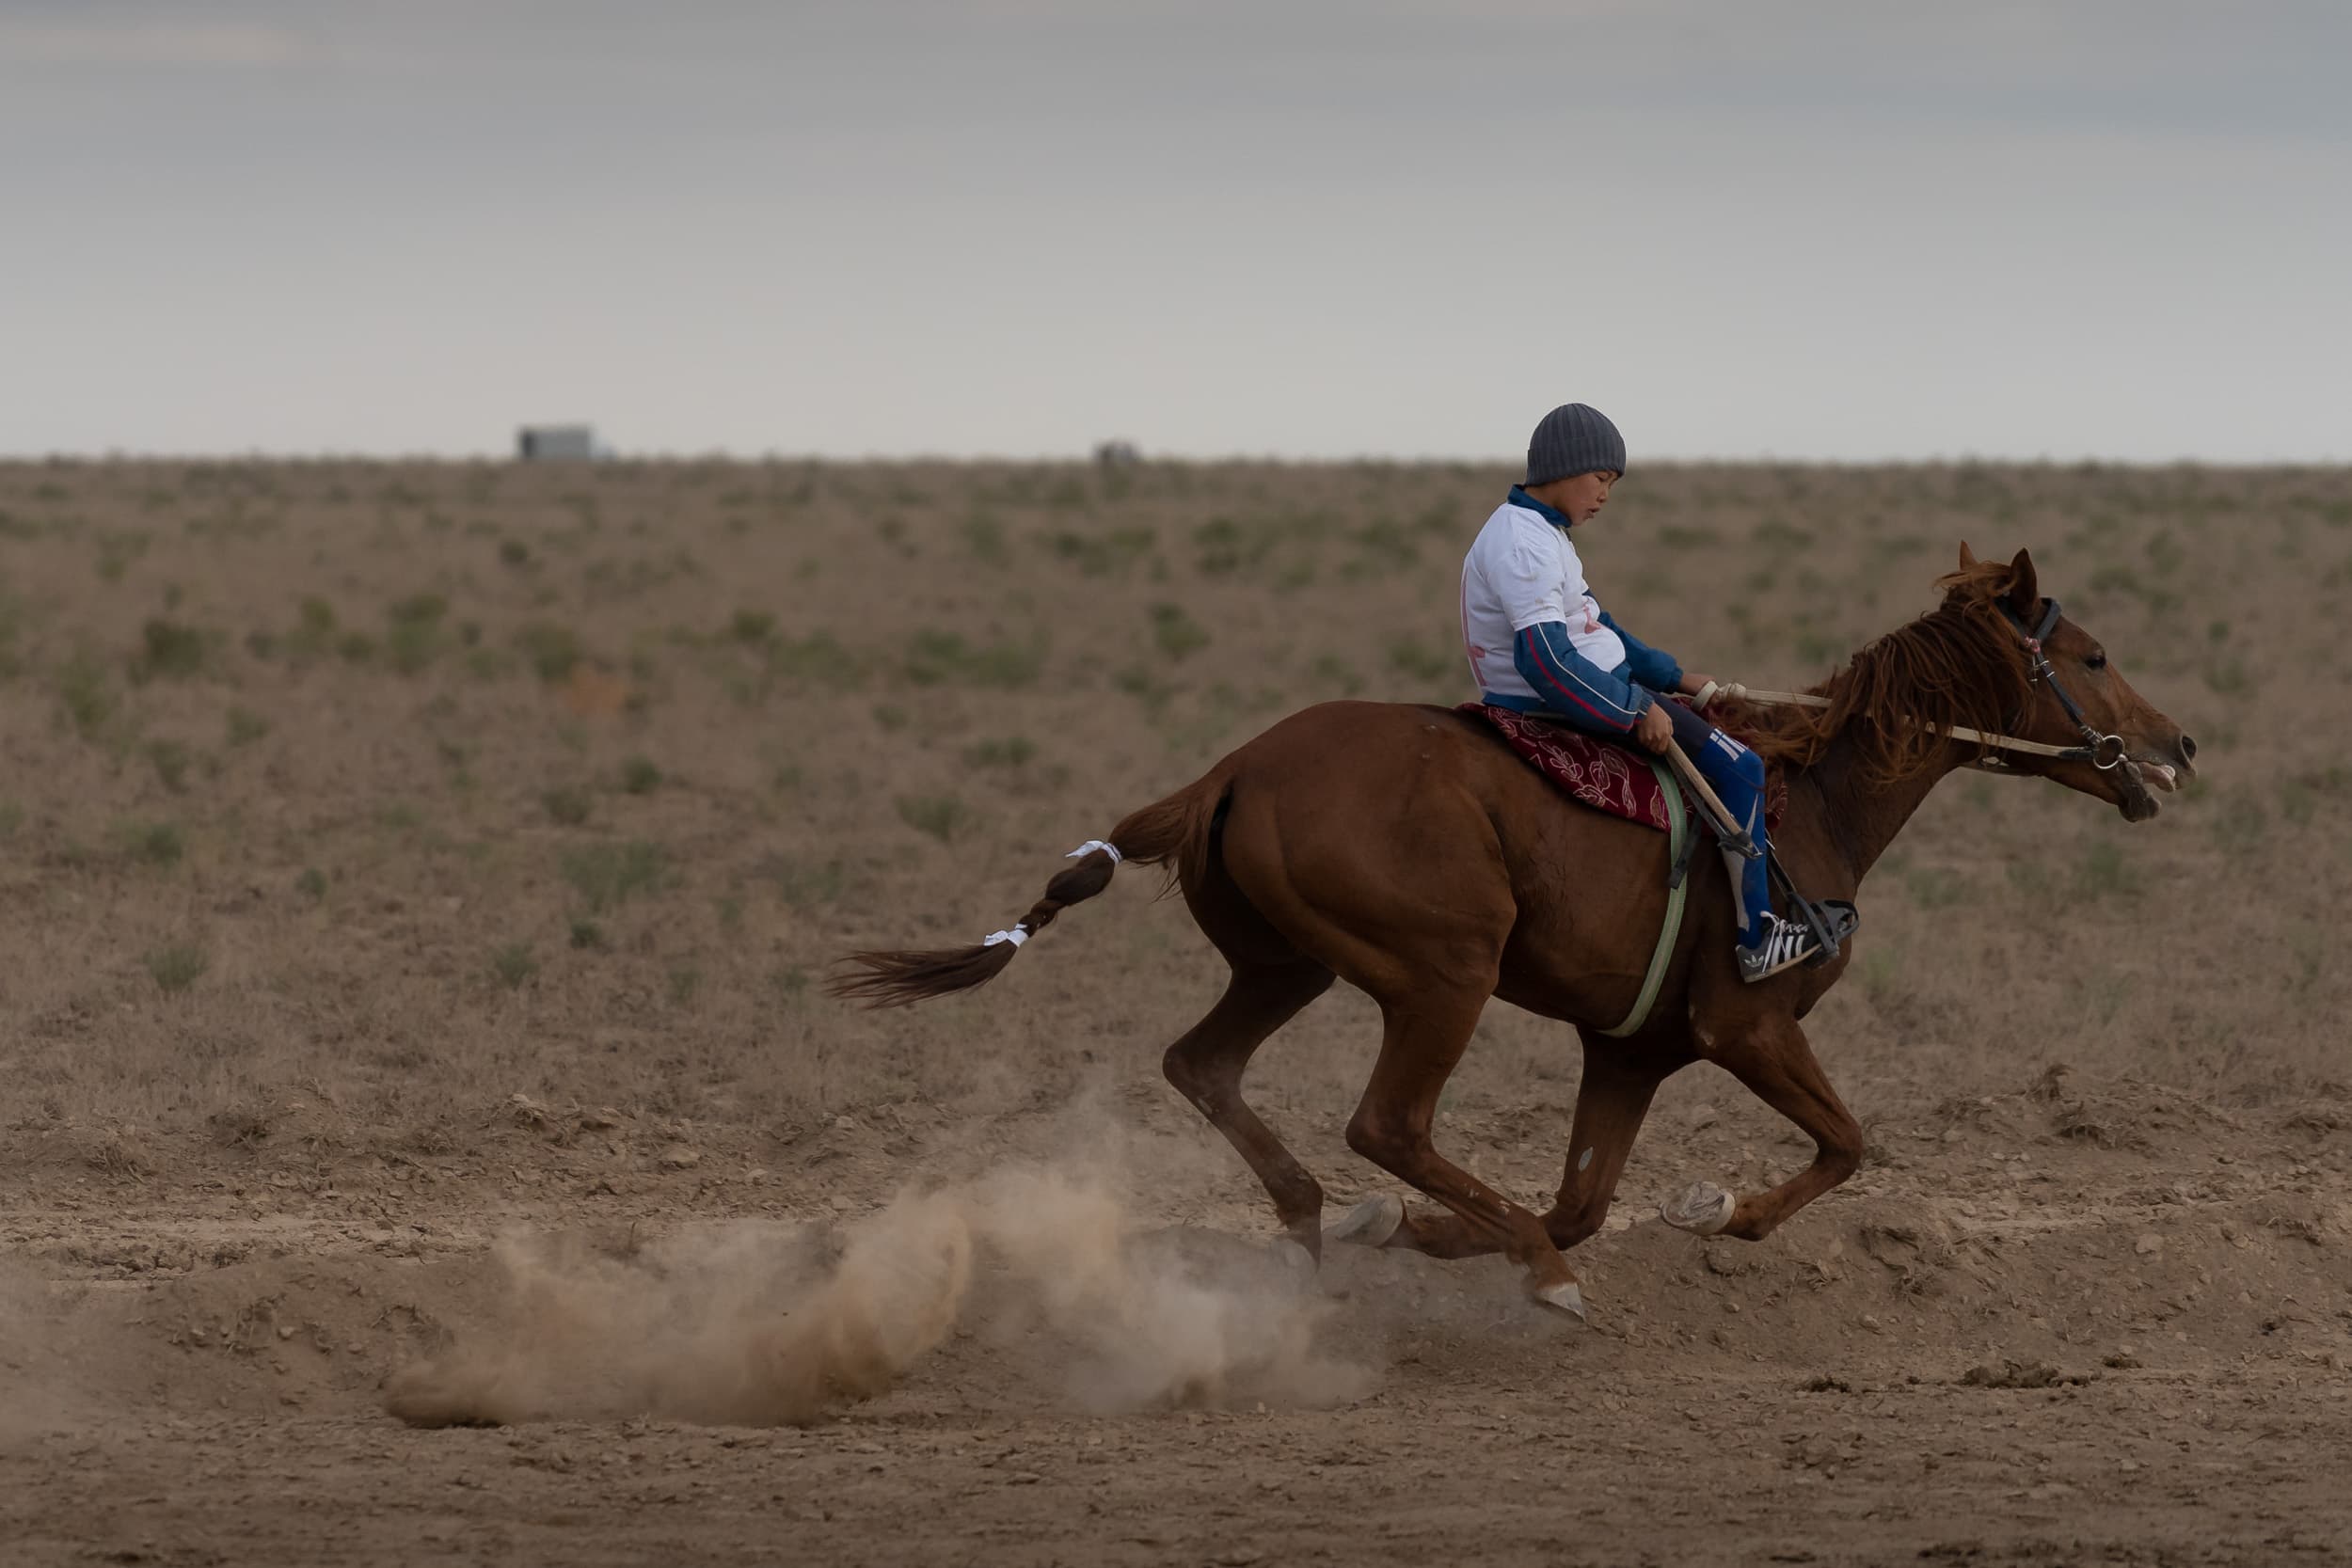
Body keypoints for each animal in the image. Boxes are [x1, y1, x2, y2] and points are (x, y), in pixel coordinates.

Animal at [833, 545, 2183, 1316]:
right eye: (2091, 654)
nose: (2176, 746)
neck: (1814, 803)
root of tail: (1228, 769)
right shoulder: (1743, 1023)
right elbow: (1845, 1143)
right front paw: (1715, 1214)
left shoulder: (1630, 1049)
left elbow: (1589, 1190)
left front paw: (1439, 1237)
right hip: (1444, 971)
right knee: (1386, 1121)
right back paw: (1522, 1266)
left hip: (1289, 963)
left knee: (1203, 1064)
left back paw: (1327, 1225)